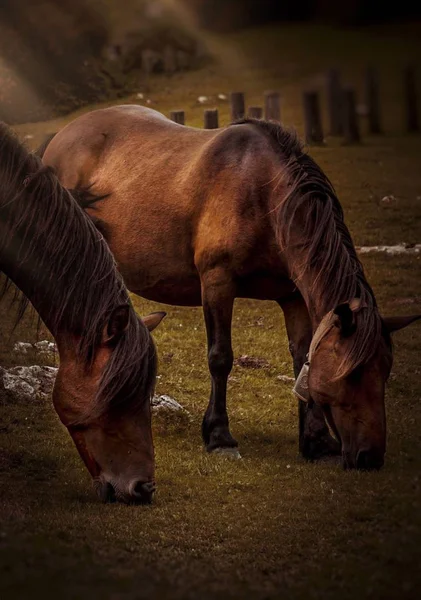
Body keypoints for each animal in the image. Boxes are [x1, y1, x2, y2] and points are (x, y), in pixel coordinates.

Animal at [41, 106, 418, 474]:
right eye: (352, 374)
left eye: (385, 371)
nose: (370, 457)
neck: (265, 195)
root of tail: (61, 136)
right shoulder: (217, 282)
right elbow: (220, 357)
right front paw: (219, 436)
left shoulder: (294, 296)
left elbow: (301, 357)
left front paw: (316, 441)